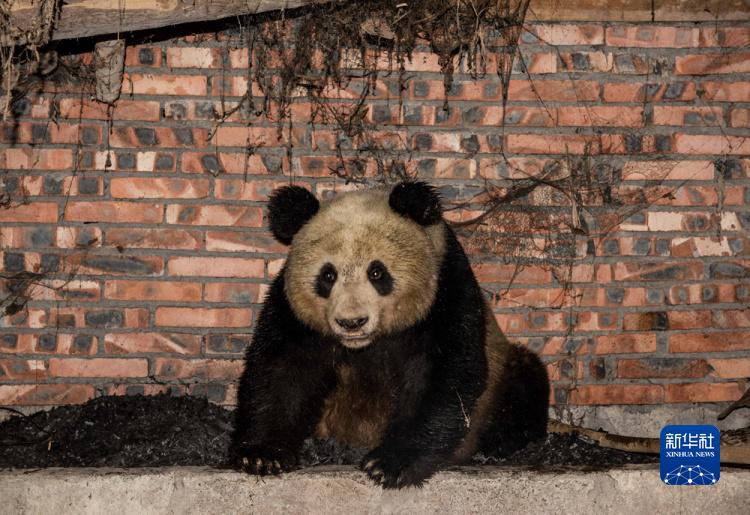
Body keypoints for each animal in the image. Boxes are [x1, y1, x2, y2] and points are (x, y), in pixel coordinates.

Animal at [231, 181, 549, 488]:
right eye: (327, 275)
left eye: (377, 273)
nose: (352, 322)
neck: (366, 344)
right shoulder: (293, 313)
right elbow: (281, 371)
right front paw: (263, 455)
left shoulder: (445, 292)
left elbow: (444, 375)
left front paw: (388, 465)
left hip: (502, 376)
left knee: (524, 384)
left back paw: (497, 446)